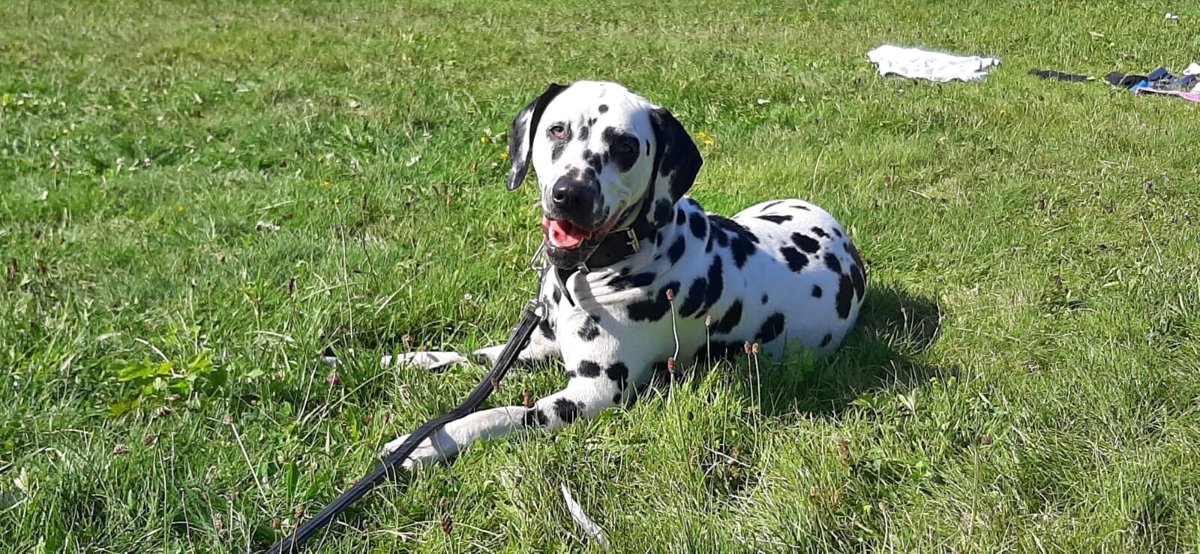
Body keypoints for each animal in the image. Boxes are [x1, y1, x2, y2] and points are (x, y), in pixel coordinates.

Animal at [381, 79, 864, 467]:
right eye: (557, 129)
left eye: (626, 147)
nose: (571, 193)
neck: (591, 274)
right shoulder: (537, 345)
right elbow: (474, 358)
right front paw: (399, 359)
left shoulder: (592, 395)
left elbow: (501, 412)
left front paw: (425, 443)